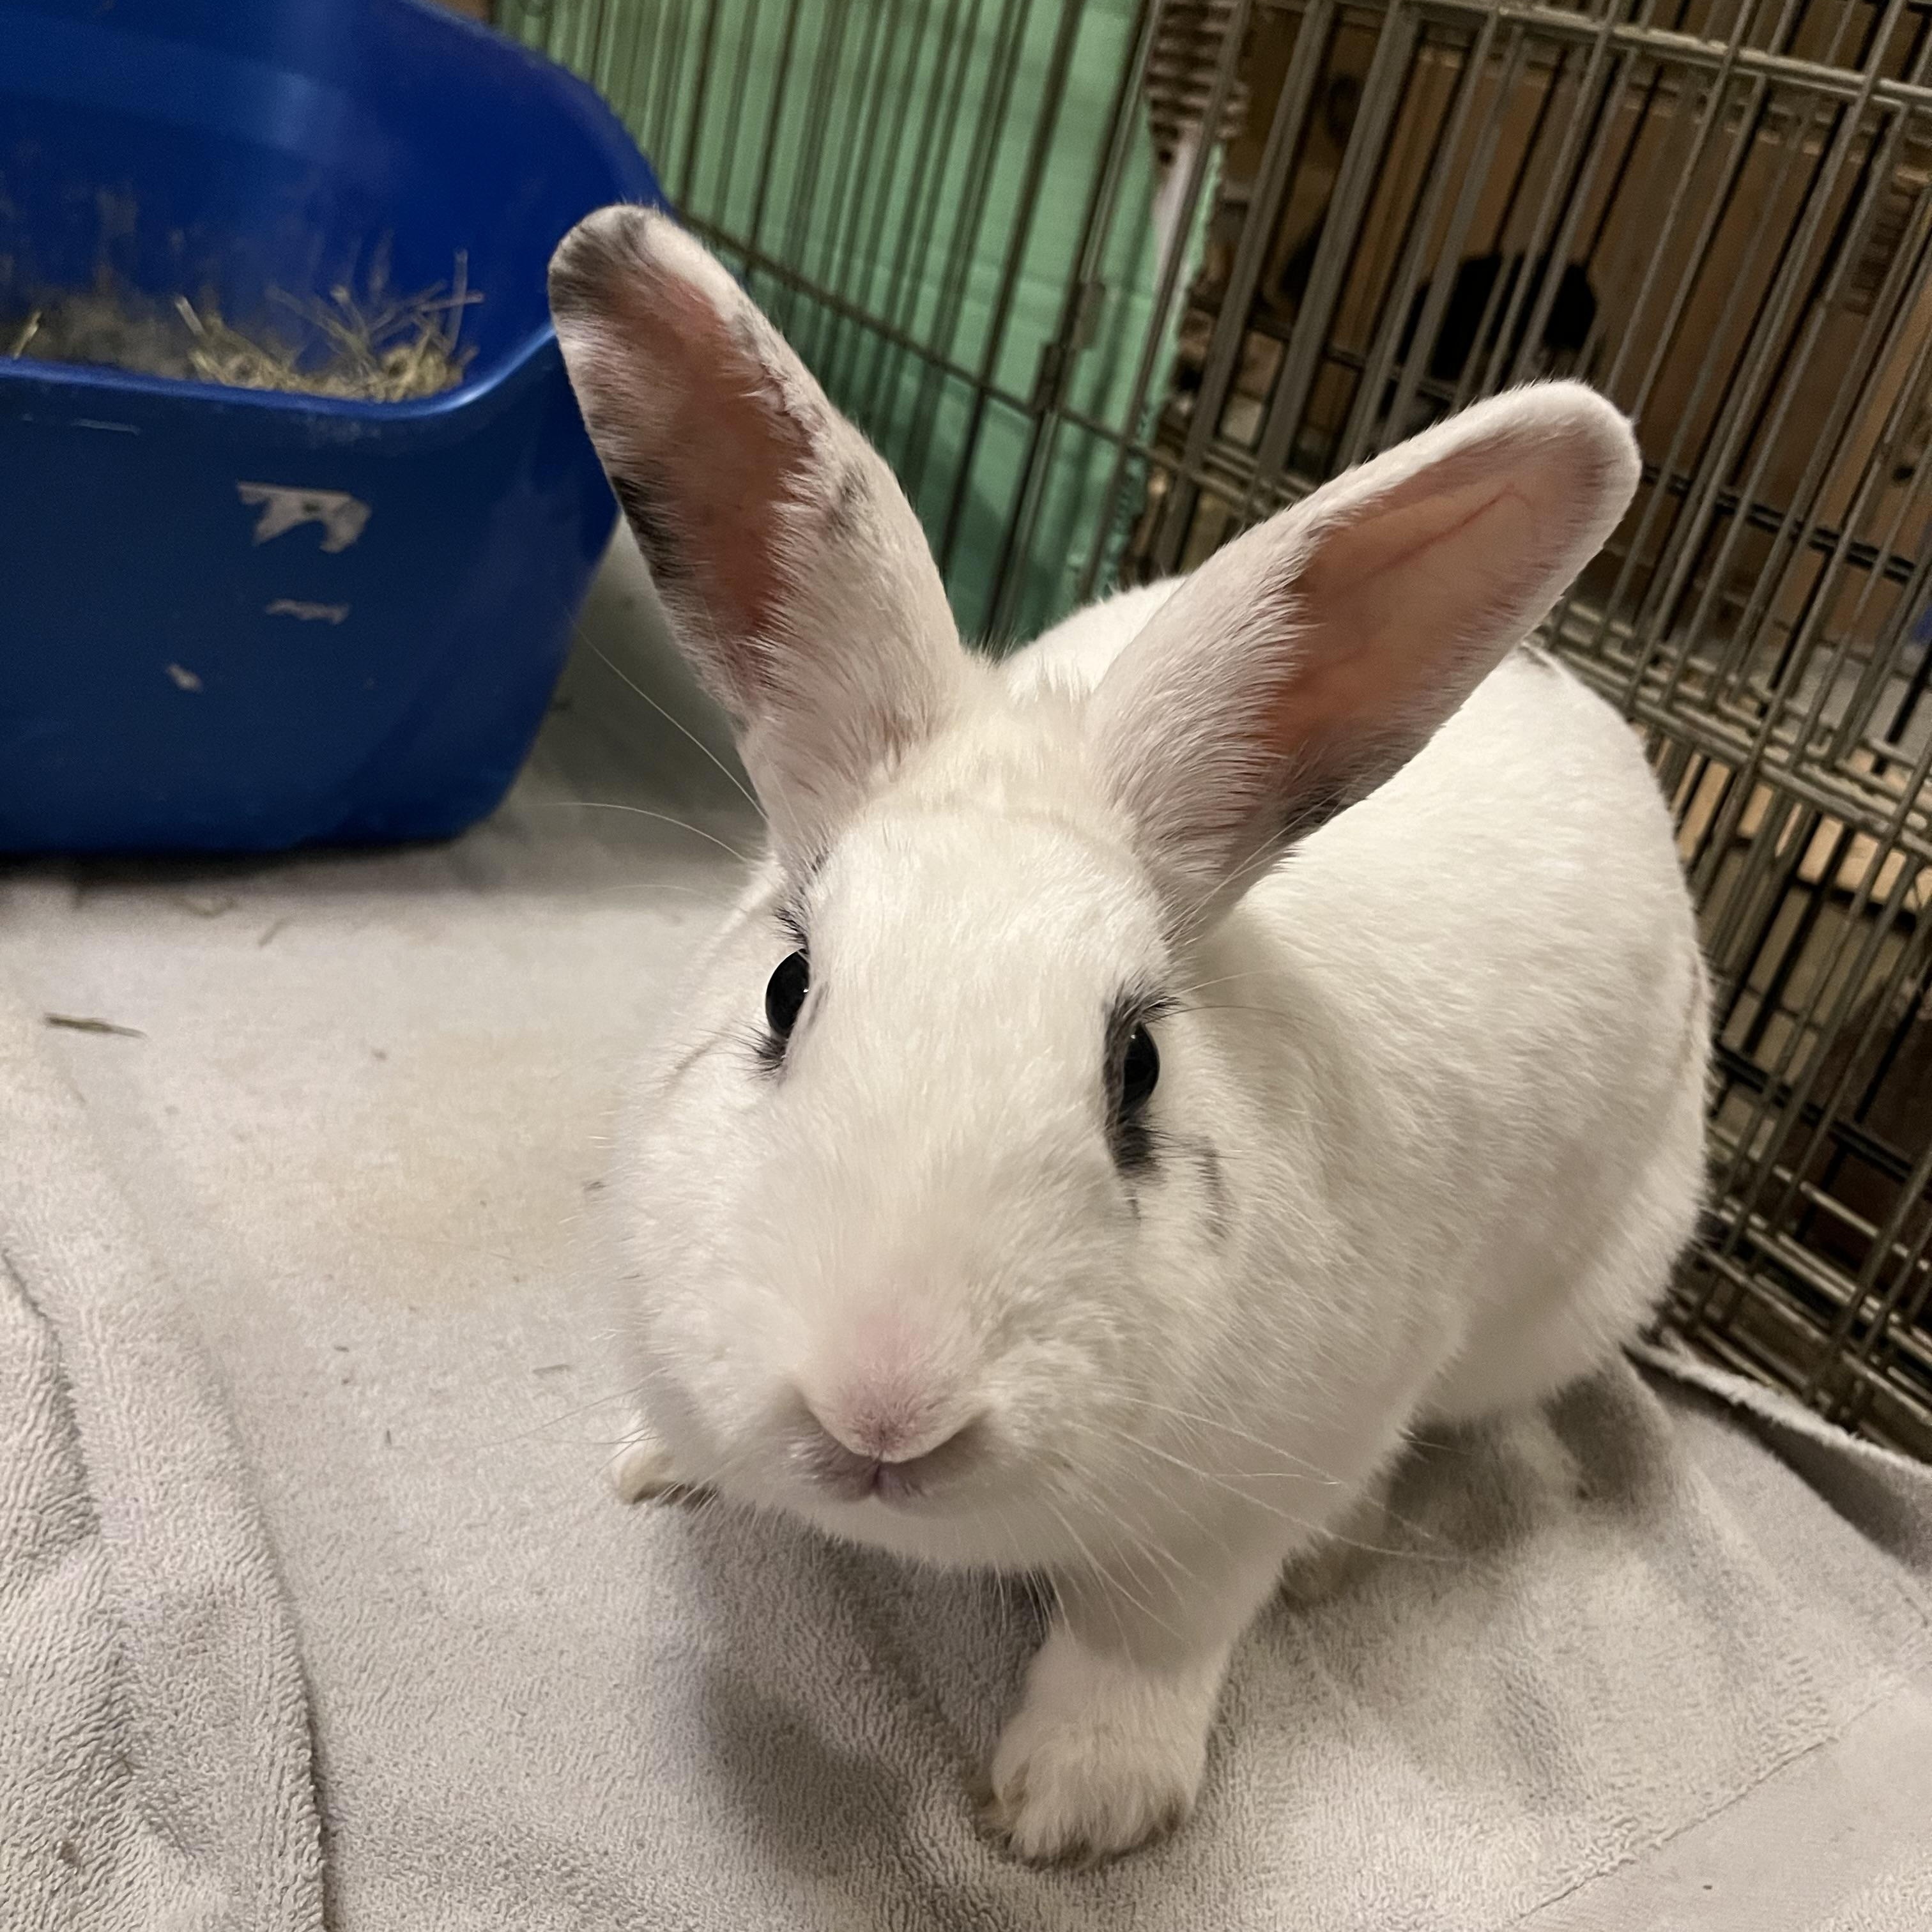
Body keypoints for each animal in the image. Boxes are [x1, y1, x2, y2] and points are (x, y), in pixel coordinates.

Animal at [549, 206, 1711, 1867]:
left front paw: (1075, 1813)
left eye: (1138, 1070)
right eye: (785, 989)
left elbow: (1148, 1633)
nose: (882, 1410)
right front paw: (657, 1467)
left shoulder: (1243, 1495)